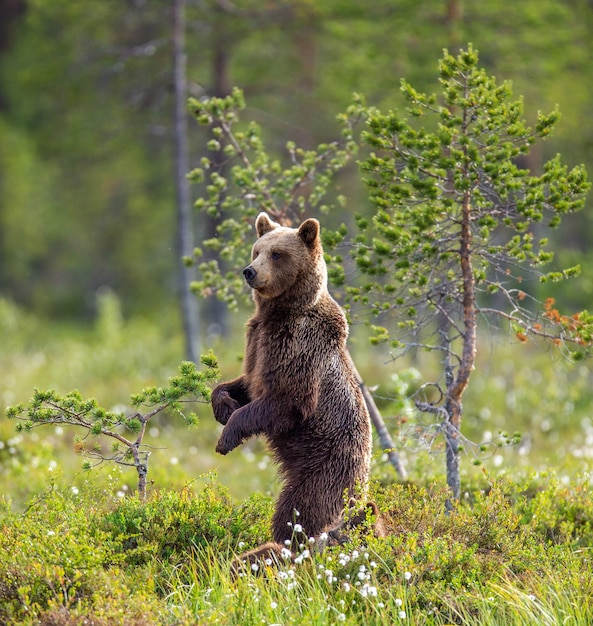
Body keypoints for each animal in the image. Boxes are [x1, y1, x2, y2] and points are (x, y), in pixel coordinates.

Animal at [212, 211, 370, 552]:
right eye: (257, 249)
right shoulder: (258, 342)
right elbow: (247, 383)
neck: (280, 313)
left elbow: (287, 401)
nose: (250, 271)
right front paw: (223, 406)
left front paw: (226, 438)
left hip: (324, 467)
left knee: (300, 509)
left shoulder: (299, 347)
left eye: (277, 254)